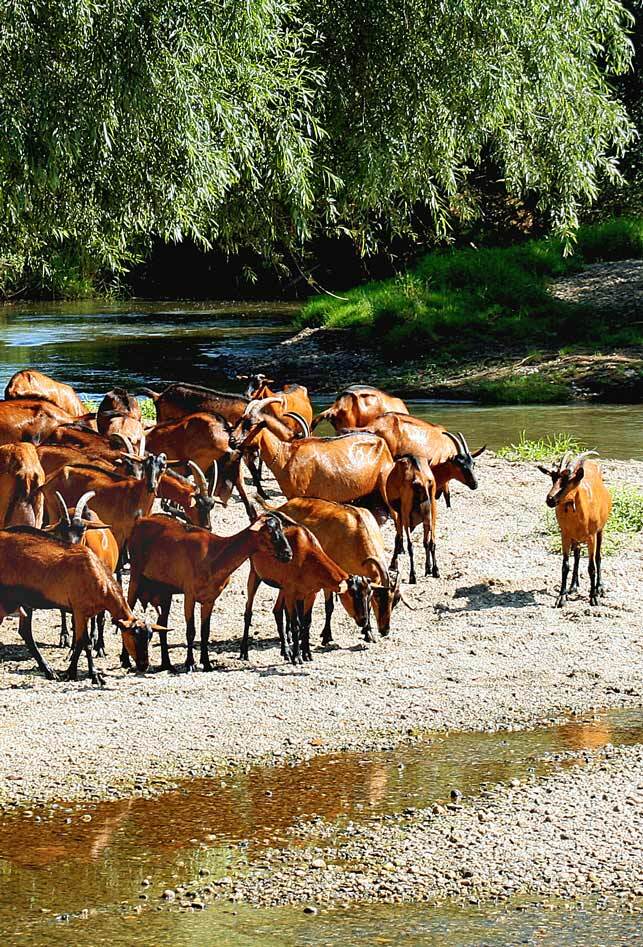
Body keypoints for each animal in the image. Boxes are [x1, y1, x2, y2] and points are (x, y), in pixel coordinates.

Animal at [0, 532, 164, 680]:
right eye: (133, 637)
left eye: (149, 638)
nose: (144, 665)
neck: (98, 579)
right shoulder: (79, 610)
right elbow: (82, 642)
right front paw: (73, 672)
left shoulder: (86, 613)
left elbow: (86, 643)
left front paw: (91, 673)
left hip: (25, 603)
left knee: (25, 632)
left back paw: (49, 671)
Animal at [129, 512, 294, 672]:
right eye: (270, 531)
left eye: (282, 529)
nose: (288, 553)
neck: (214, 555)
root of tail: (140, 520)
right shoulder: (189, 594)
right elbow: (191, 631)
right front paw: (190, 664)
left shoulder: (210, 599)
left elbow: (205, 631)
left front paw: (207, 663)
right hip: (135, 575)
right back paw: (127, 662)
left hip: (165, 591)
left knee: (162, 624)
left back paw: (167, 664)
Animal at [242, 520, 370, 668]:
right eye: (353, 594)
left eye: (368, 594)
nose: (363, 620)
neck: (307, 554)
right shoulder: (291, 592)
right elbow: (296, 624)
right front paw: (297, 657)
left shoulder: (310, 593)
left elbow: (306, 623)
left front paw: (306, 654)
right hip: (255, 574)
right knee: (248, 611)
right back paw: (244, 653)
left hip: (282, 588)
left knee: (277, 611)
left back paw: (286, 652)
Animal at [540, 450, 612, 608]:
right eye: (553, 478)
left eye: (570, 480)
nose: (550, 499)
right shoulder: (565, 534)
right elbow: (565, 565)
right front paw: (562, 596)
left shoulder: (591, 536)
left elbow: (591, 566)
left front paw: (593, 597)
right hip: (575, 537)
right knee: (577, 554)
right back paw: (573, 586)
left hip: (600, 531)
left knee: (598, 557)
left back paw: (599, 588)